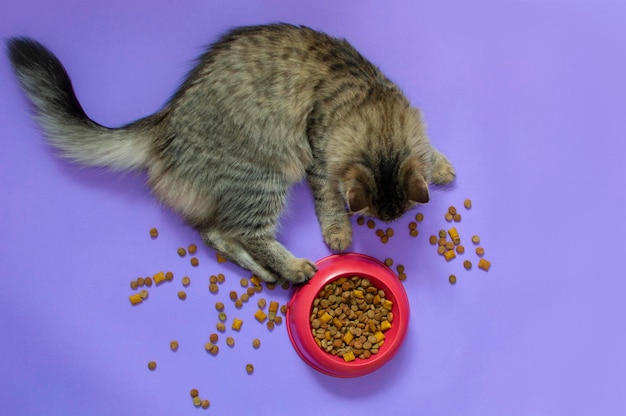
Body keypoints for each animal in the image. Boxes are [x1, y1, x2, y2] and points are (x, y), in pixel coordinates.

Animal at [6, 22, 454, 282]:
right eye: (371, 220)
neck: (368, 100)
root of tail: (162, 123)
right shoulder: (318, 155)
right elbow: (329, 202)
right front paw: (340, 233)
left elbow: (427, 150)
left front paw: (442, 167)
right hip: (265, 177)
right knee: (247, 234)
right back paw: (295, 269)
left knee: (216, 235)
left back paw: (270, 275)